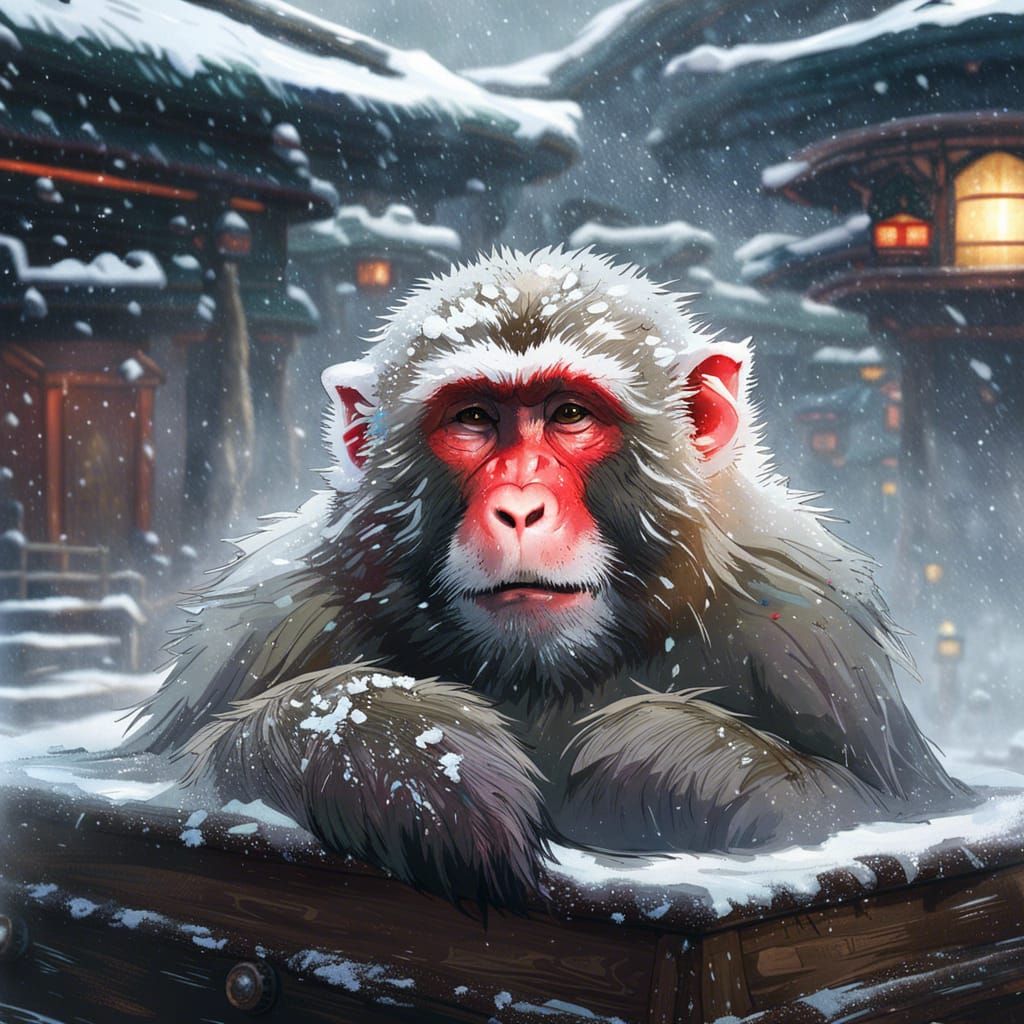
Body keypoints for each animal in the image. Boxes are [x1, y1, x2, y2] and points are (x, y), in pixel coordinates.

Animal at [127, 247, 973, 908]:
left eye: (569, 413)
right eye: (473, 418)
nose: (520, 507)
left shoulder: (807, 631)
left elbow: (886, 808)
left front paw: (656, 759)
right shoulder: (275, 619)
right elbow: (170, 776)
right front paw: (416, 761)